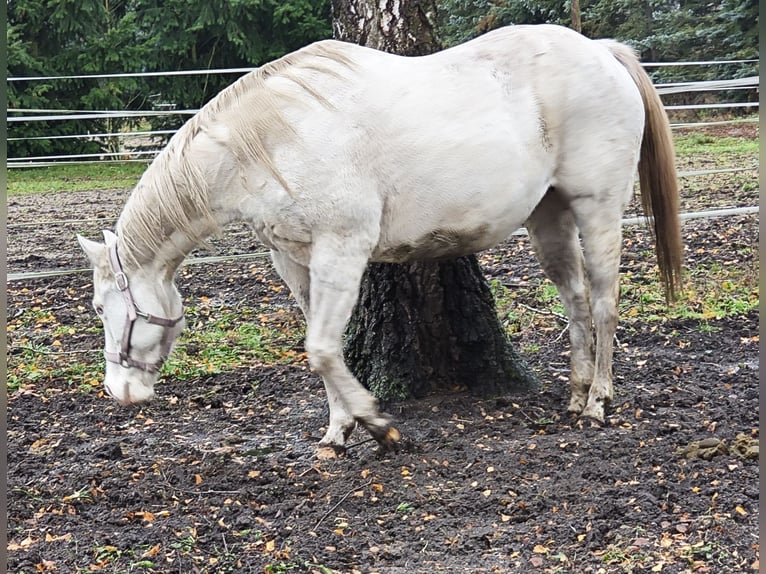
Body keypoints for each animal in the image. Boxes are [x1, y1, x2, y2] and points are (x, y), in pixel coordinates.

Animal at [78, 23, 680, 454]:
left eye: (105, 307)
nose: (120, 392)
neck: (270, 140)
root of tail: (601, 51)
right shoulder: (294, 261)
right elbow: (324, 347)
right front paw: (338, 429)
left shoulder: (343, 250)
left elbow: (321, 349)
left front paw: (377, 426)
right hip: (548, 217)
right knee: (575, 301)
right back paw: (576, 396)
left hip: (598, 209)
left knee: (602, 303)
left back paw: (598, 401)